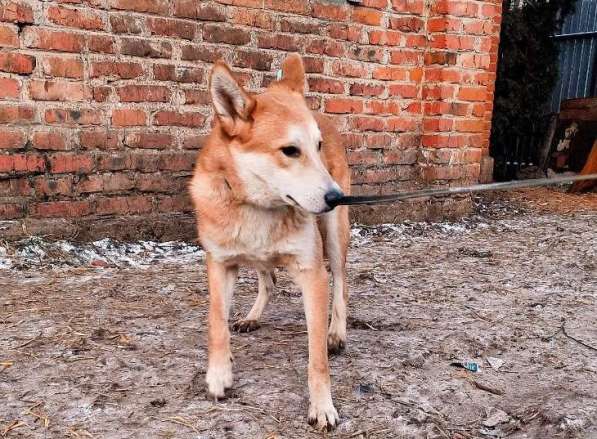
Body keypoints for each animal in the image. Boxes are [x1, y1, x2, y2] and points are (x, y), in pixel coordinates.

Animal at [190, 52, 350, 430]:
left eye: (318, 147)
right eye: (290, 150)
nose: (336, 196)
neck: (257, 205)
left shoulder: (312, 274)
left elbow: (317, 355)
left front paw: (322, 405)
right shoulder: (219, 264)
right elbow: (216, 322)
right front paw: (219, 374)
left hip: (335, 236)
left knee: (341, 282)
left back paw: (337, 332)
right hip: (256, 259)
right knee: (269, 280)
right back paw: (252, 316)